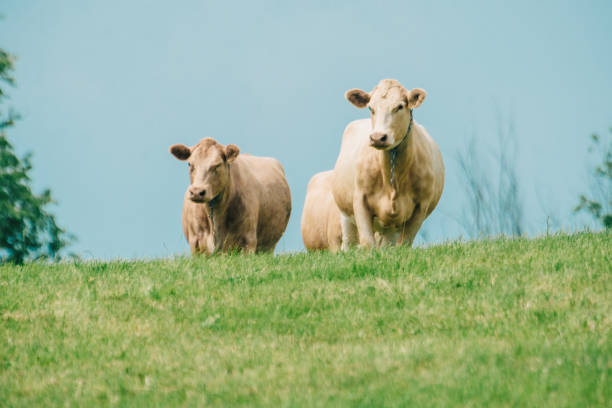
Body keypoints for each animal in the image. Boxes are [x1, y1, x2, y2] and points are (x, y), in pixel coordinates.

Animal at [330, 77, 444, 249]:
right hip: (345, 215)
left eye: (400, 106)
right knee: (349, 242)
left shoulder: (421, 207)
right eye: (370, 107)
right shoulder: (359, 201)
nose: (377, 137)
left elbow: (404, 244)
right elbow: (367, 243)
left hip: (391, 228)